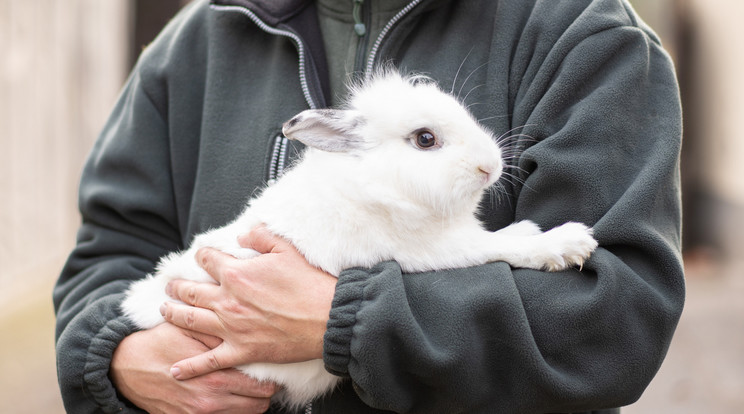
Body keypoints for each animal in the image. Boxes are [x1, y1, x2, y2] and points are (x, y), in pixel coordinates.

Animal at [122, 68, 600, 408]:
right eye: (425, 139)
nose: (490, 166)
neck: (379, 185)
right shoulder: (430, 251)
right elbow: (498, 246)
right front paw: (569, 243)